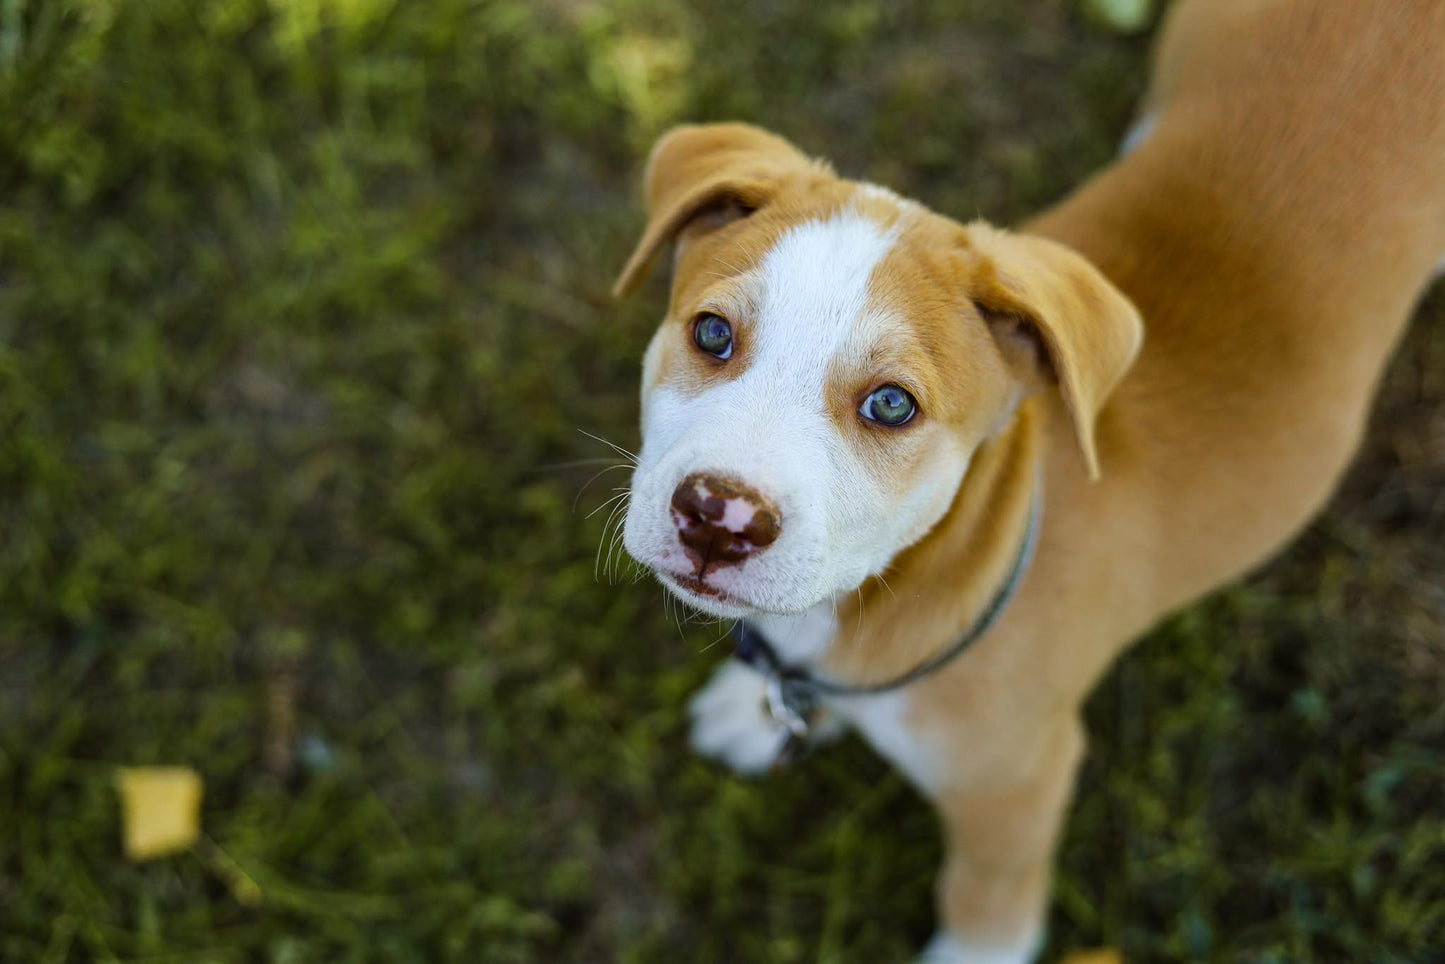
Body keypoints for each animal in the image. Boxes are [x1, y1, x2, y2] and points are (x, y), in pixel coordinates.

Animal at [612, 3, 1445, 959]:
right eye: (711, 334)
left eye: (891, 405)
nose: (717, 516)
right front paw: (755, 711)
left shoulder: (1015, 783)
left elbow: (985, 898)